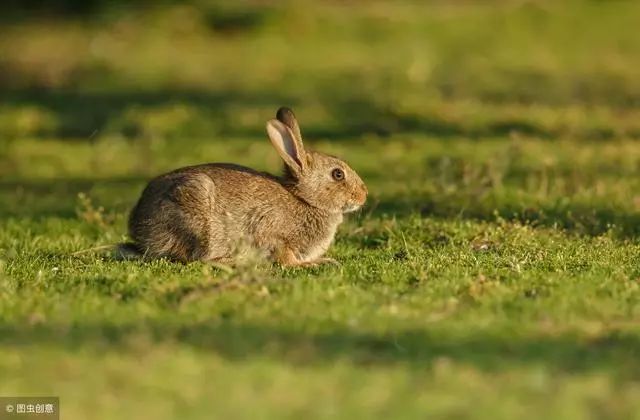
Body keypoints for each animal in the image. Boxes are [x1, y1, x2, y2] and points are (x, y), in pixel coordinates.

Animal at [119, 107, 368, 266]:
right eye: (337, 174)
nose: (363, 195)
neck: (305, 199)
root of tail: (139, 227)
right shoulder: (274, 235)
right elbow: (284, 257)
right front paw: (309, 265)